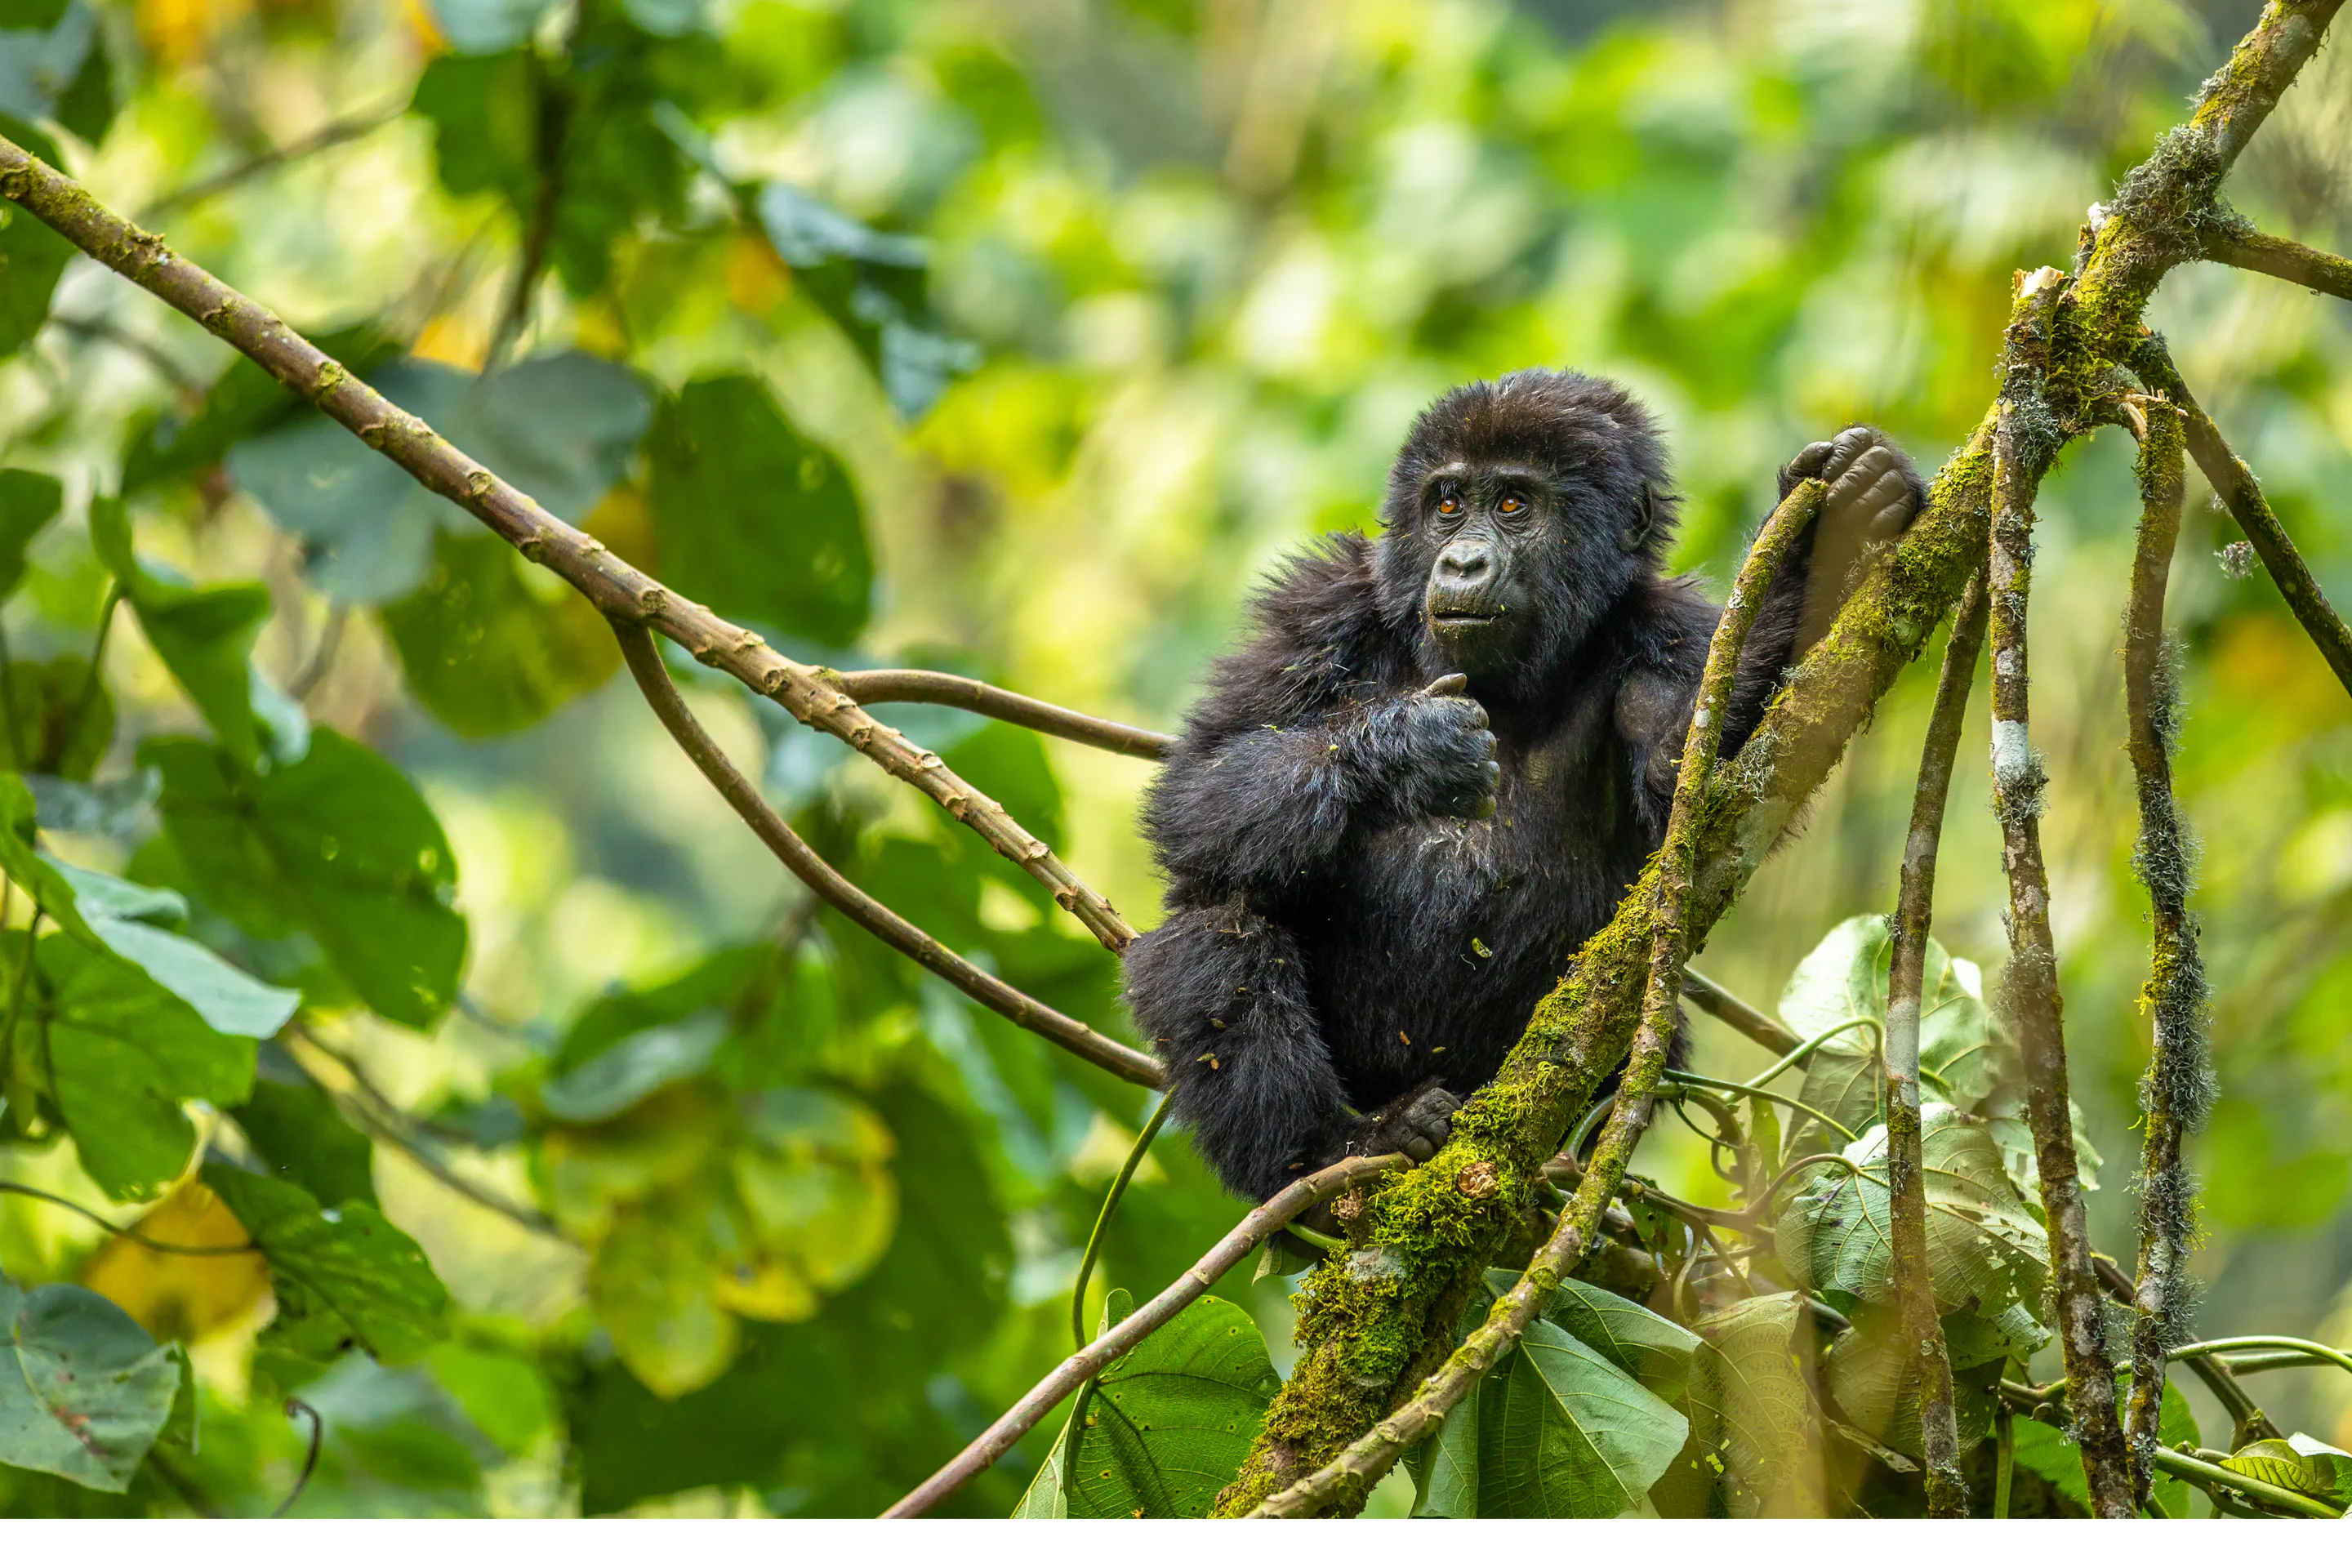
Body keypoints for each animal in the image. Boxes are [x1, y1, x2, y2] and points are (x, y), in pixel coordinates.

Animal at [1122, 370, 1924, 1200]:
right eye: (1448, 503)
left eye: (1513, 505)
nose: (1463, 563)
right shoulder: (1319, 609)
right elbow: (1200, 787)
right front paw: (1411, 749)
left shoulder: (1673, 632)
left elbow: (1698, 787)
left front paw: (1818, 546)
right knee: (1218, 918)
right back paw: (1334, 1149)